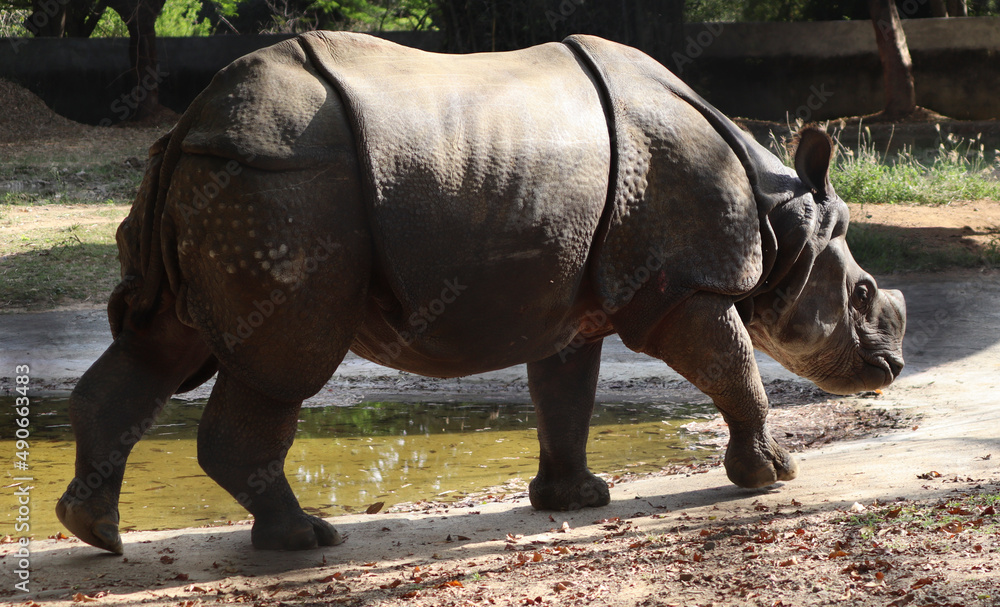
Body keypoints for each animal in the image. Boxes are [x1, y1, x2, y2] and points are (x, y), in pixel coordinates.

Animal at [57, 32, 905, 554]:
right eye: (863, 293)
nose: (891, 366)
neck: (780, 218)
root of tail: (192, 121)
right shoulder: (681, 285)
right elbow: (735, 370)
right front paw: (774, 475)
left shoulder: (576, 299)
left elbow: (565, 392)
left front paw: (576, 499)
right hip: (283, 186)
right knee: (280, 365)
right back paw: (306, 540)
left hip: (229, 180)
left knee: (162, 343)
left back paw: (95, 530)